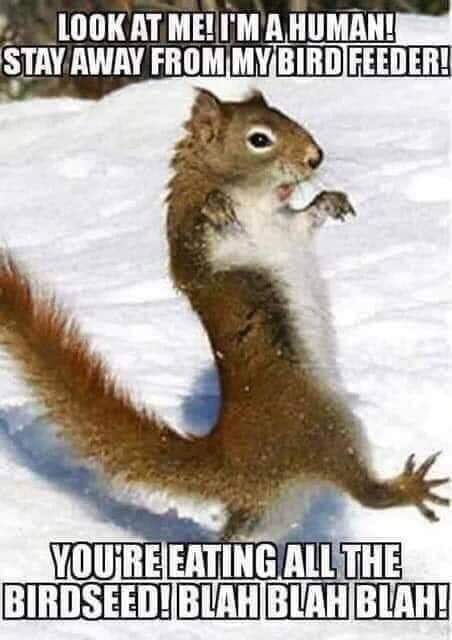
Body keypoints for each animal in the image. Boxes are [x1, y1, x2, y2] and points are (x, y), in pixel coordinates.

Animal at [0, 89, 448, 540]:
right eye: (259, 139)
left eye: (284, 113)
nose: (315, 157)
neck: (256, 201)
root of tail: (234, 462)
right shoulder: (190, 250)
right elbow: (195, 249)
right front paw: (216, 205)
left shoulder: (290, 226)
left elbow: (307, 218)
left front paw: (330, 200)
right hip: (325, 427)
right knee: (363, 491)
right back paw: (408, 487)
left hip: (269, 509)